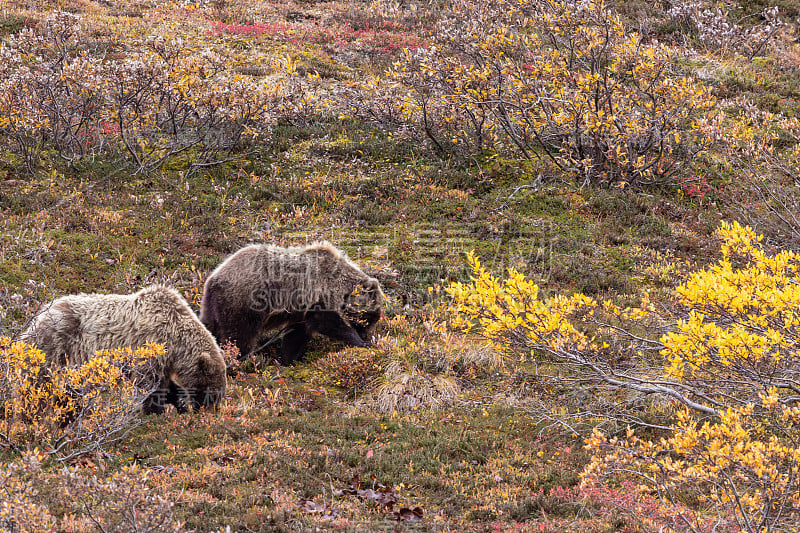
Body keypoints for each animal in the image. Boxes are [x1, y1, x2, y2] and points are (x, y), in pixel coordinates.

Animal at [20, 284, 227, 414]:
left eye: (219, 394)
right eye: (212, 393)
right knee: (38, 387)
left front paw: (179, 403)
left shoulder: (164, 359)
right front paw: (155, 411)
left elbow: (164, 384)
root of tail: (36, 319)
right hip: (55, 348)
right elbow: (149, 384)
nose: (210, 412)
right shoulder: (150, 344)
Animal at [202, 242, 386, 364]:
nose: (368, 335)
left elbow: (297, 333)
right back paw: (242, 360)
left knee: (211, 327)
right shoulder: (317, 297)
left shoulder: (301, 309)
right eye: (372, 316)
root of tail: (213, 279)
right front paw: (361, 342)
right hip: (243, 300)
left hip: (213, 305)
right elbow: (329, 323)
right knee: (240, 335)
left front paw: (290, 359)